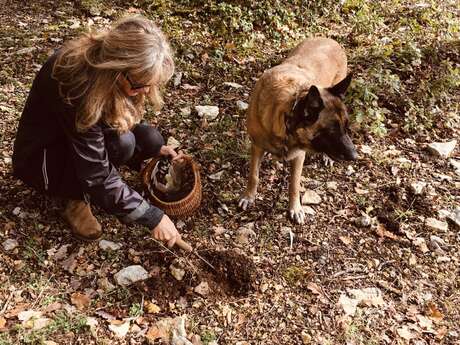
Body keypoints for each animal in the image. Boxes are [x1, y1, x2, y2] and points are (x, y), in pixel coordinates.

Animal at [239, 37, 358, 223]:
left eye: (346, 128)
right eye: (332, 132)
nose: (355, 156)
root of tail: (329, 39)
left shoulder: (298, 156)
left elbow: (293, 184)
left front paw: (295, 208)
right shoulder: (257, 146)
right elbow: (254, 175)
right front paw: (249, 196)